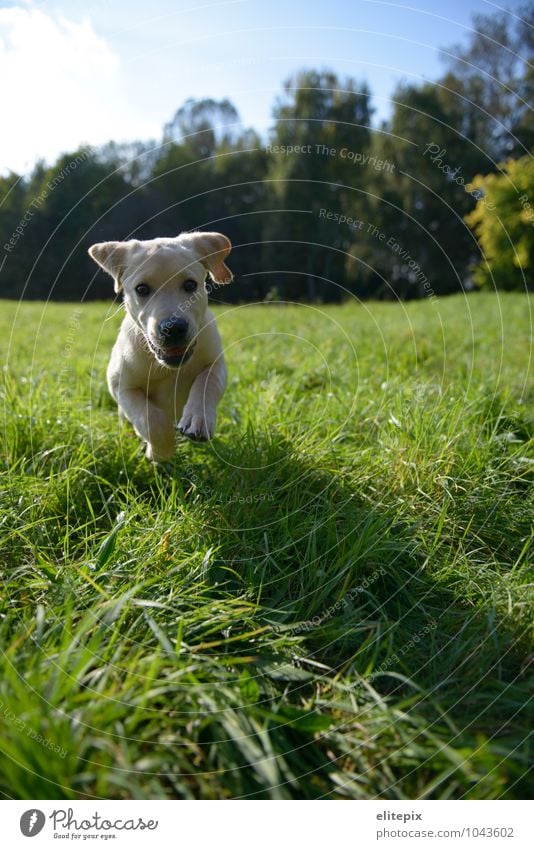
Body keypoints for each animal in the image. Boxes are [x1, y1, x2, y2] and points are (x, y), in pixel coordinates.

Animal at [89, 229, 233, 460]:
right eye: (142, 289)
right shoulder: (123, 386)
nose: (173, 328)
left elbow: (206, 384)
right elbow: (151, 420)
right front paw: (162, 453)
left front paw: (198, 420)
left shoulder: (216, 364)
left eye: (190, 285)